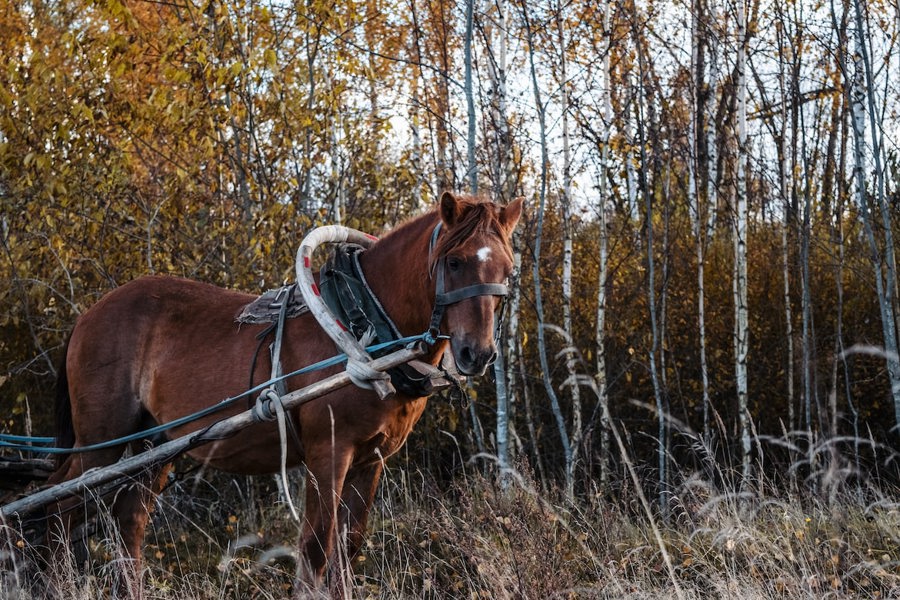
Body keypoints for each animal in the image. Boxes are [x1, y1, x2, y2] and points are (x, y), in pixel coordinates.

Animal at [49, 192, 524, 596]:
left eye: (507, 269)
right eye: (455, 261)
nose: (478, 353)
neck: (362, 327)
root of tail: (89, 315)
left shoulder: (371, 459)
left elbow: (347, 549)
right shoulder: (328, 452)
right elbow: (316, 548)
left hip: (156, 445)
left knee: (128, 519)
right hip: (101, 442)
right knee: (58, 504)